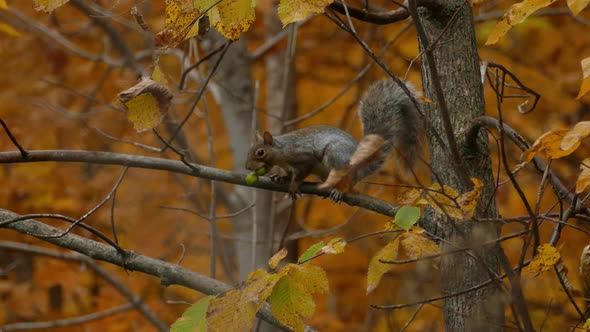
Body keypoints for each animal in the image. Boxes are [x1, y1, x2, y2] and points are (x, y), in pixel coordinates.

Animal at [247, 80, 424, 200]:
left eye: (260, 152)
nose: (247, 167)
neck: (282, 151)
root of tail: (360, 167)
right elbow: (288, 173)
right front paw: (281, 177)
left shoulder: (303, 156)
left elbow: (301, 173)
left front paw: (293, 186)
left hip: (335, 154)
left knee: (349, 180)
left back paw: (340, 190)